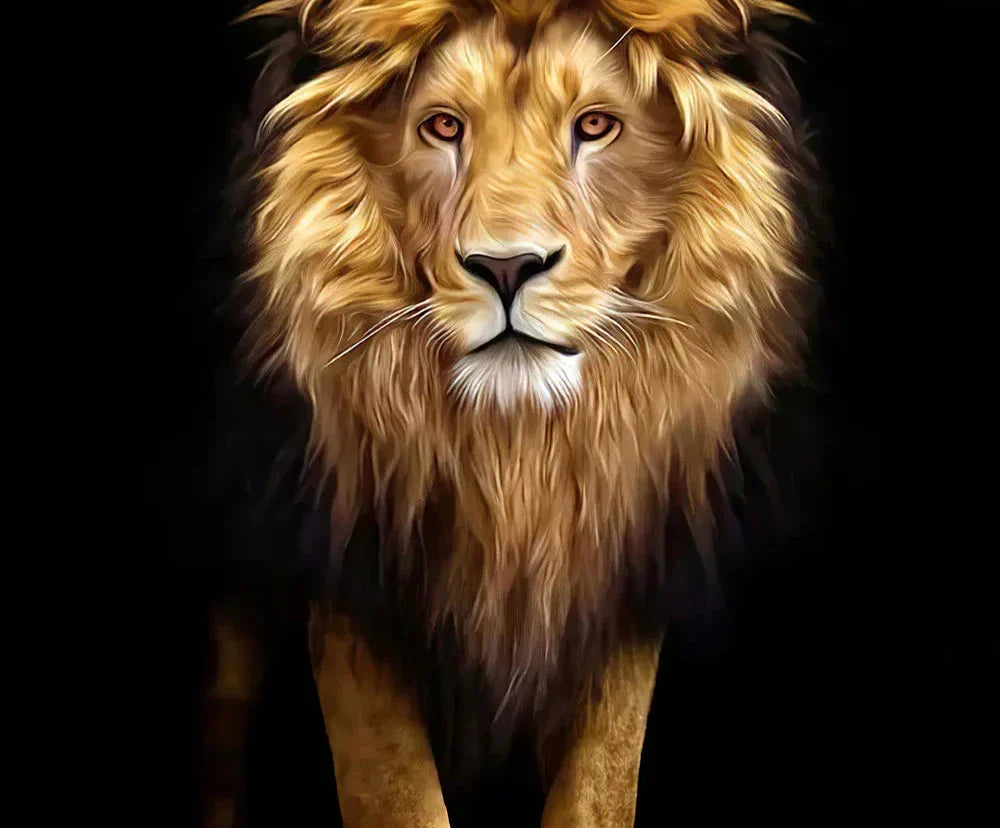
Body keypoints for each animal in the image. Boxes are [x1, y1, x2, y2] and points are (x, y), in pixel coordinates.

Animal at [200, 1, 813, 825]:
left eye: (595, 125)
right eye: (443, 127)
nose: (507, 267)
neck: (515, 455)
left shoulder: (621, 566)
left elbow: (600, 783)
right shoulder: (350, 571)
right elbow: (393, 786)